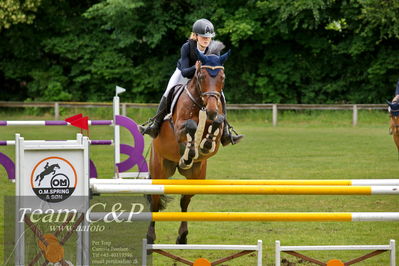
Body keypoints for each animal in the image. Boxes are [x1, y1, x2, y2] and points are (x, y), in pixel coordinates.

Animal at [147, 50, 230, 245]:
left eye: (222, 77)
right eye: (201, 76)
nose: (212, 110)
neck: (201, 104)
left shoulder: (218, 126)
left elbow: (218, 122)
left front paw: (205, 145)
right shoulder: (178, 128)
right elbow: (191, 126)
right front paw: (190, 151)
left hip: (196, 176)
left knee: (184, 201)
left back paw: (182, 236)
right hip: (159, 169)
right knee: (155, 202)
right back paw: (150, 237)